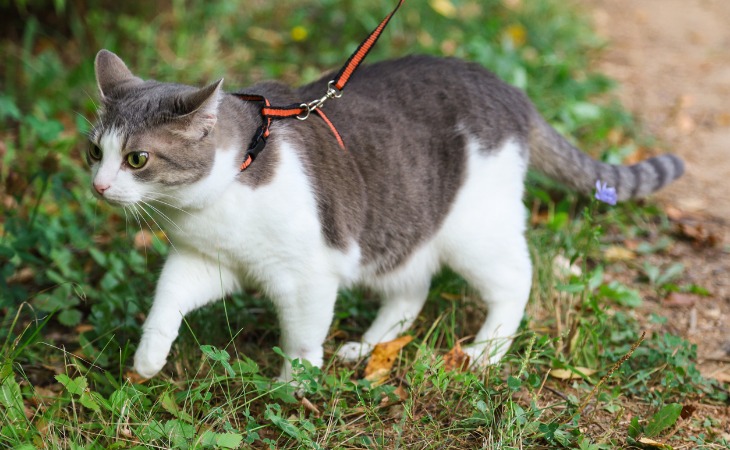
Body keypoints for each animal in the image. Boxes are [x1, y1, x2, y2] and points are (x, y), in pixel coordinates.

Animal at [89, 48, 684, 380]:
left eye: (137, 159)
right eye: (95, 150)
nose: (99, 185)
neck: (219, 199)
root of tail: (510, 89)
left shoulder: (307, 276)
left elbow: (301, 341)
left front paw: (291, 390)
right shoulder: (205, 260)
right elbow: (165, 303)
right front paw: (147, 361)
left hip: (473, 230)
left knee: (516, 279)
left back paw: (487, 351)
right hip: (399, 226)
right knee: (411, 288)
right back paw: (370, 347)